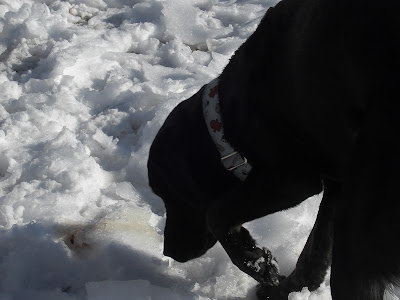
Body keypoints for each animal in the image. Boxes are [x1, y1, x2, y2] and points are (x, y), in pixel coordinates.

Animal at [148, 0, 400, 298]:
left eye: (167, 195)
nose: (169, 251)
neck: (226, 114)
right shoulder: (335, 180)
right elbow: (315, 248)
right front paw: (286, 286)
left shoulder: (294, 179)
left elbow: (216, 213)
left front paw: (254, 259)